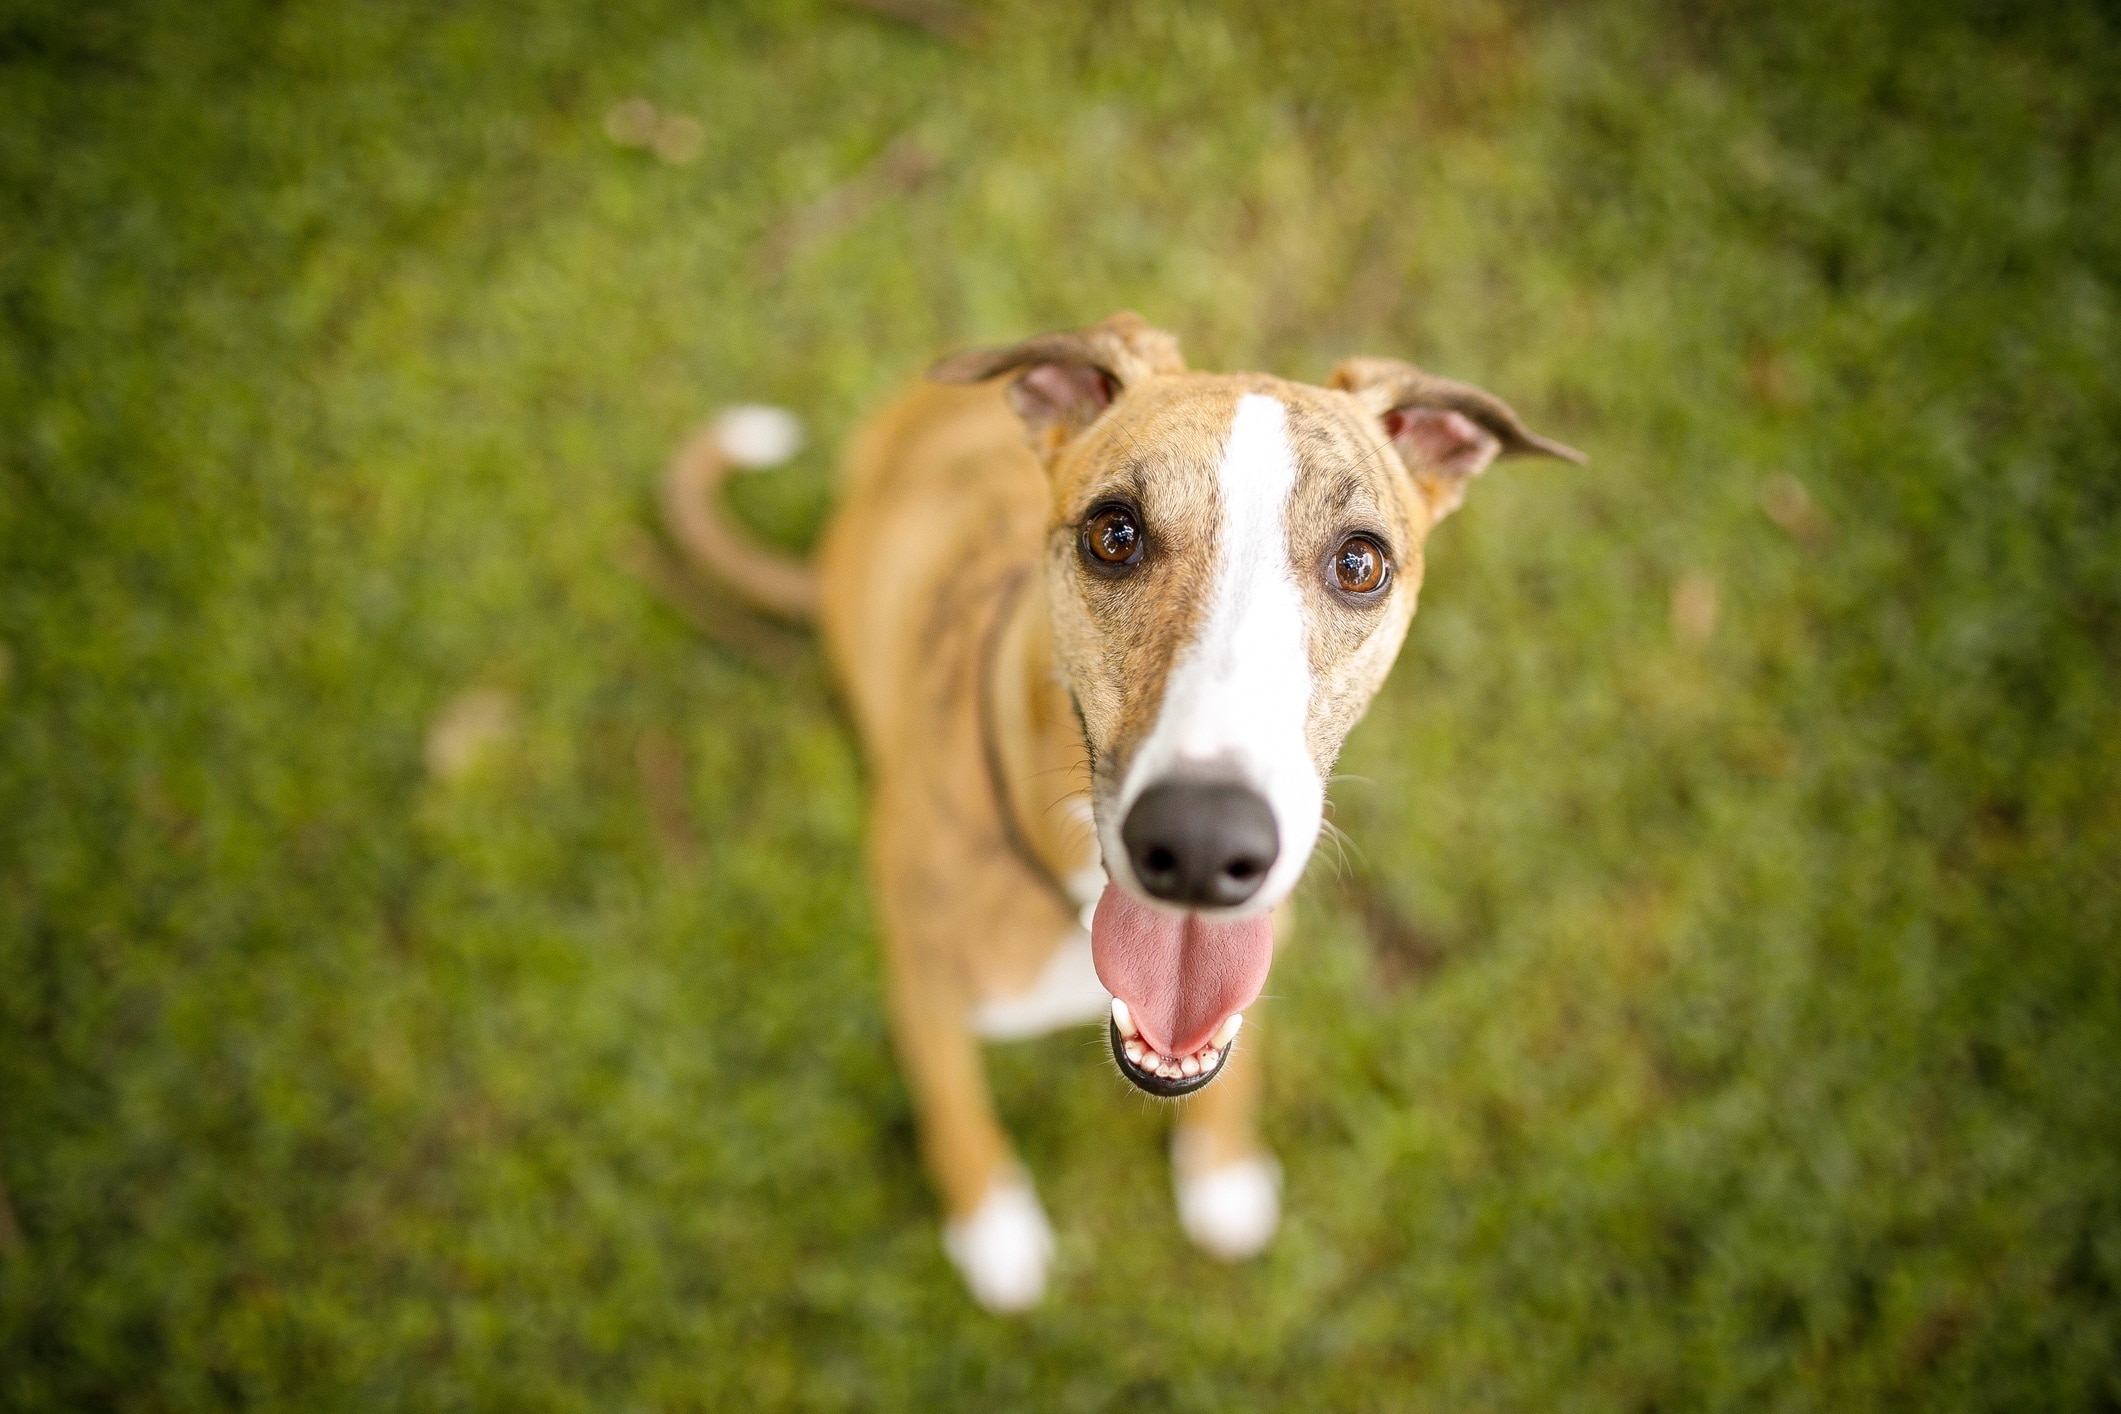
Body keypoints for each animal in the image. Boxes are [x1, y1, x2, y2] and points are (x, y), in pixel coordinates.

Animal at [661, 315, 1578, 1314]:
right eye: (1113, 534)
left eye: (1359, 562)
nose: (1203, 847)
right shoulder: (920, 979)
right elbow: (954, 1108)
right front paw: (992, 1223)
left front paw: (1221, 1172)